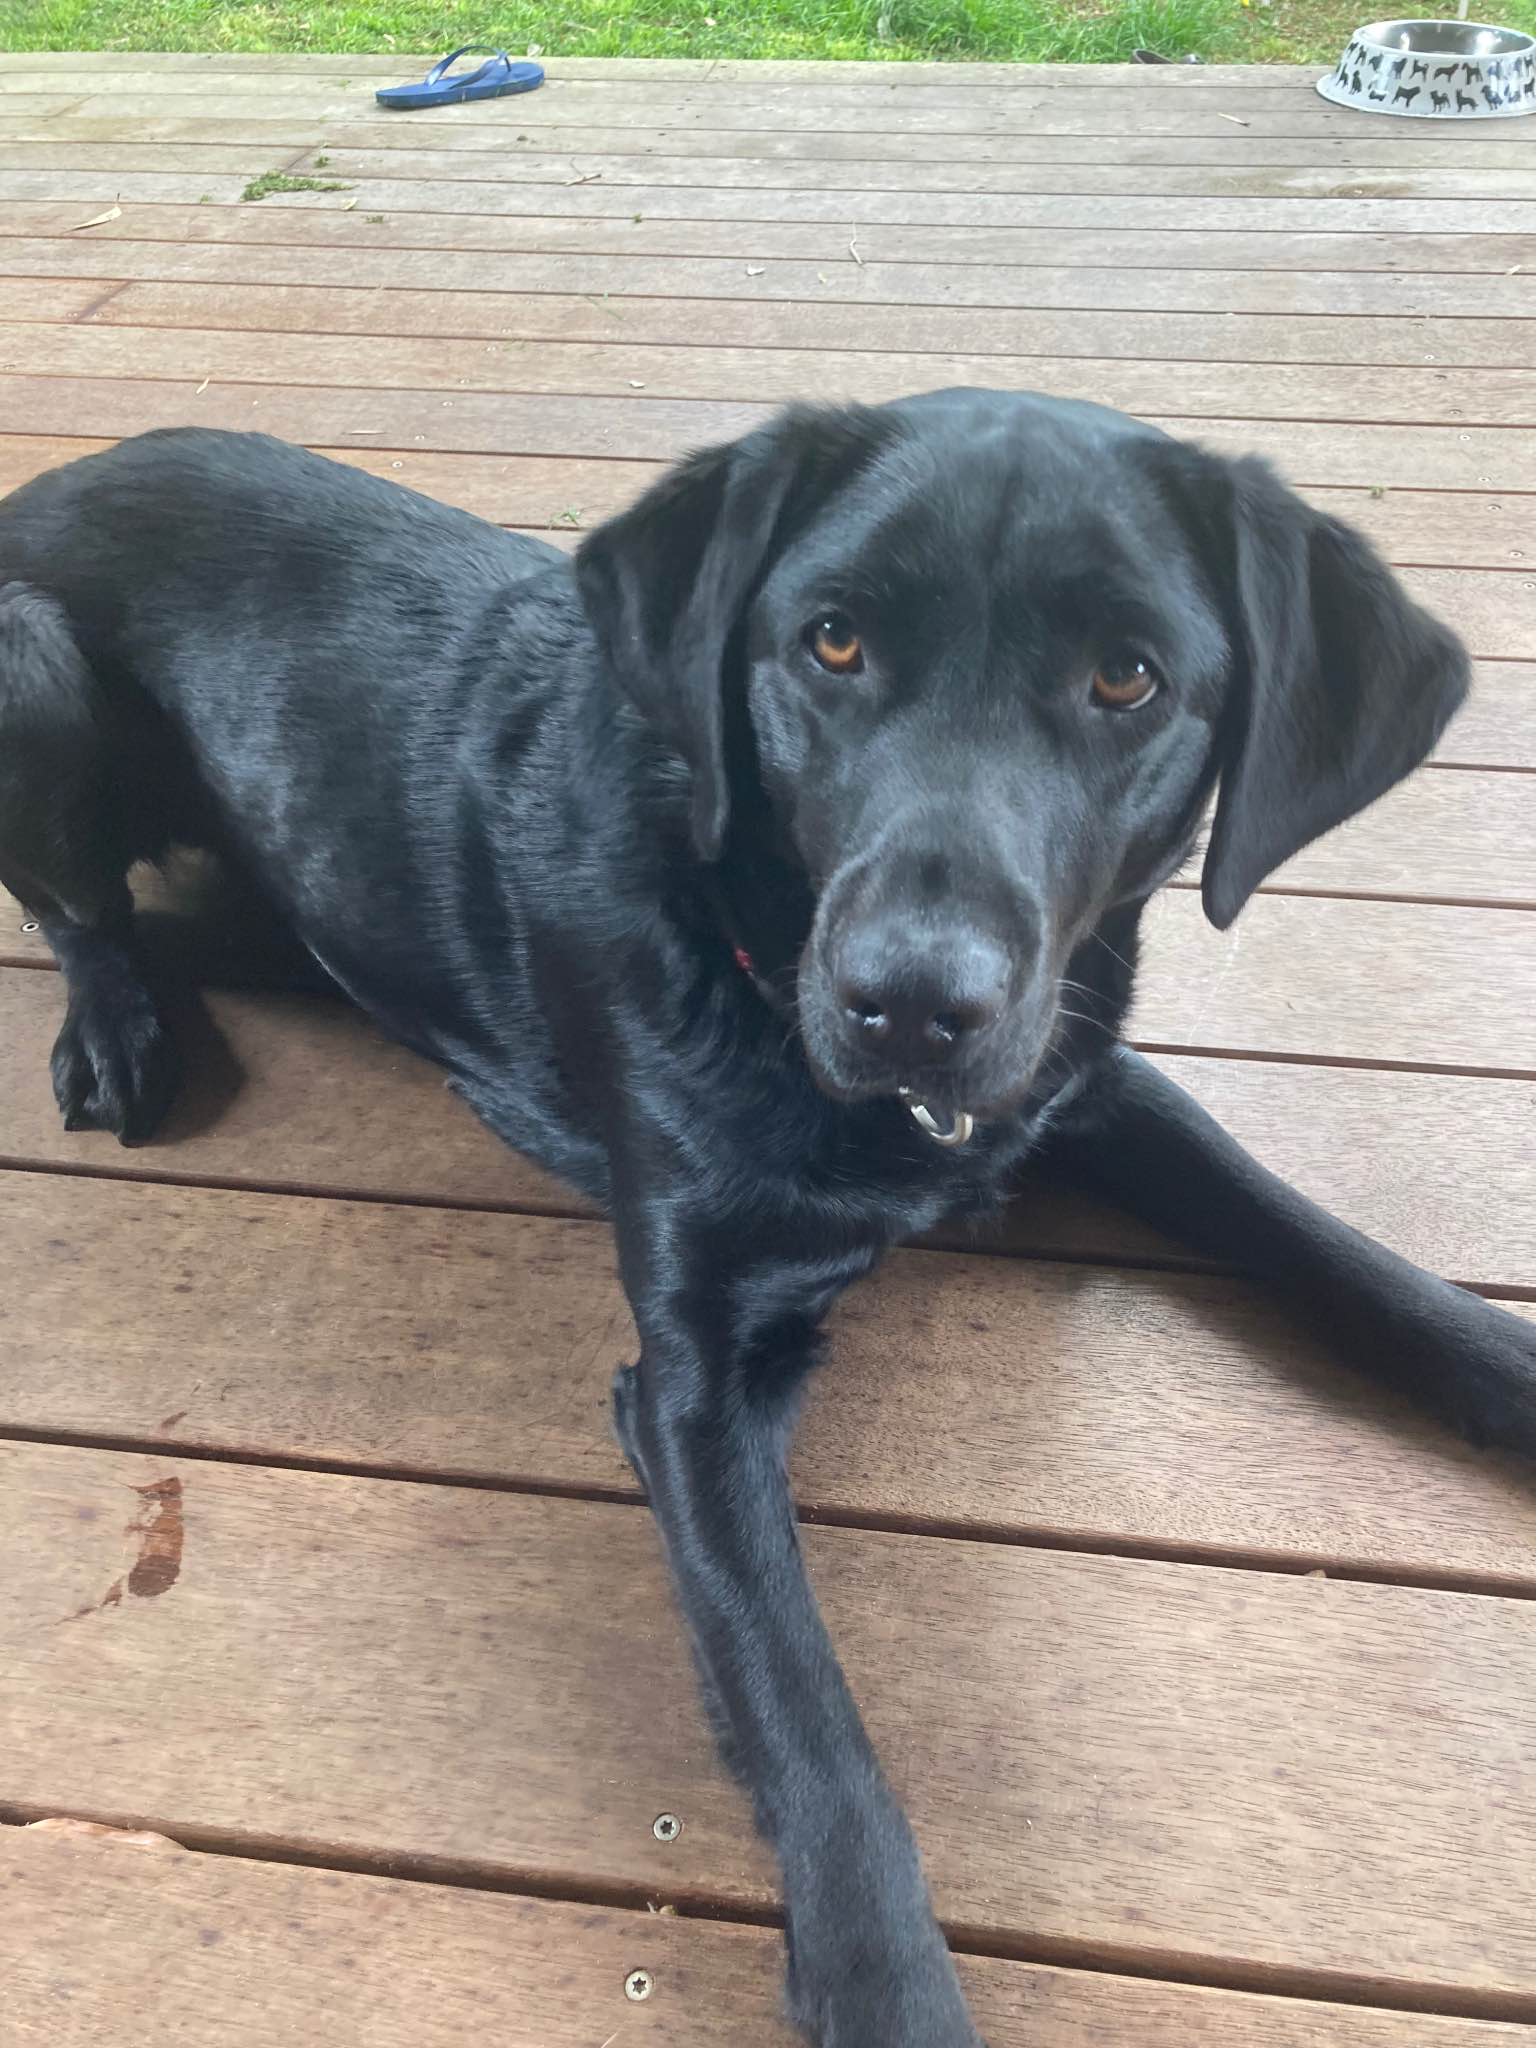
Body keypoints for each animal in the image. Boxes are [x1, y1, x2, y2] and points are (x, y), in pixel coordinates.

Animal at [3, 391, 1537, 2039]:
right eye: (833, 642)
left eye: (1126, 676)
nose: (911, 1003)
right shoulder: (693, 1377)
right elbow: (800, 1701)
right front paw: (888, 1987)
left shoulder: (1078, 1073)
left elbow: (1304, 1230)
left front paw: (1501, 1364)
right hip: (35, 676)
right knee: (81, 911)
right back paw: (115, 1026)